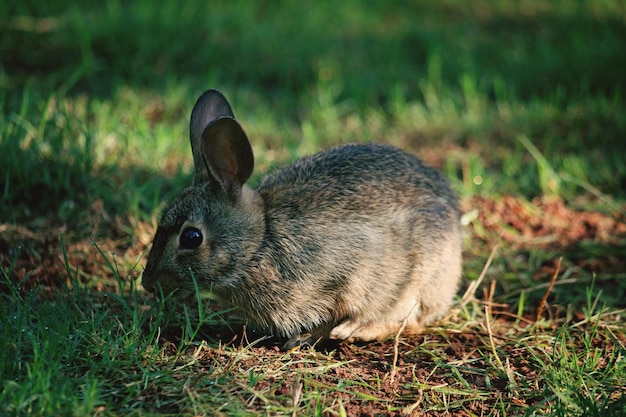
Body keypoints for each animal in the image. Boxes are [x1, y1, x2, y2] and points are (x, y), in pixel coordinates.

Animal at [143, 88, 464, 348]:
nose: (148, 283)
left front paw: (305, 338)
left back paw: (354, 331)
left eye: (192, 237)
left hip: (417, 279)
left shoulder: (347, 274)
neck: (260, 241)